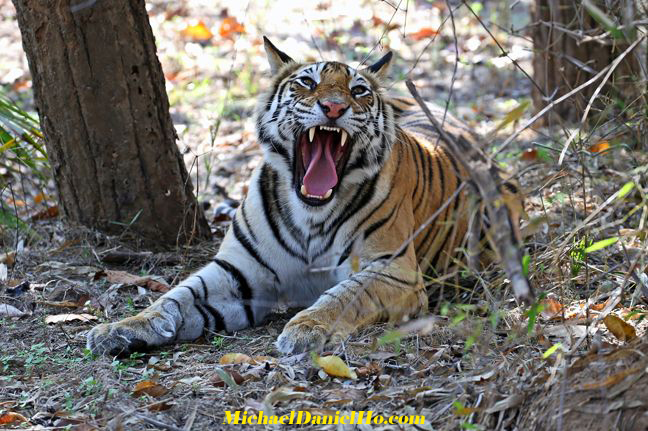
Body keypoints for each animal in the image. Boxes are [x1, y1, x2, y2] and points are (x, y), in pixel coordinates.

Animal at [85, 37, 502, 356]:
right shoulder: (239, 270)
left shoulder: (393, 269)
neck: (310, 215)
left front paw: (307, 329)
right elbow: (176, 297)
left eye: (358, 91)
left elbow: (345, 294)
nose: (334, 107)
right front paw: (123, 326)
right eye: (307, 82)